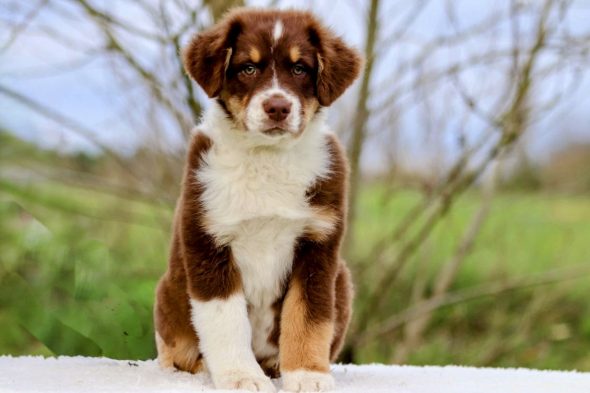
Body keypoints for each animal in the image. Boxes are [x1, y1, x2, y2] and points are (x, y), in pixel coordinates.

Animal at [154, 6, 360, 392]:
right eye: (248, 68)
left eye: (300, 69)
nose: (277, 107)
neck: (267, 158)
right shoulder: (208, 240)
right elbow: (226, 321)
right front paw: (240, 377)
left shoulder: (318, 246)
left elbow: (308, 317)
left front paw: (308, 374)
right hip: (168, 294)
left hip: (342, 279)